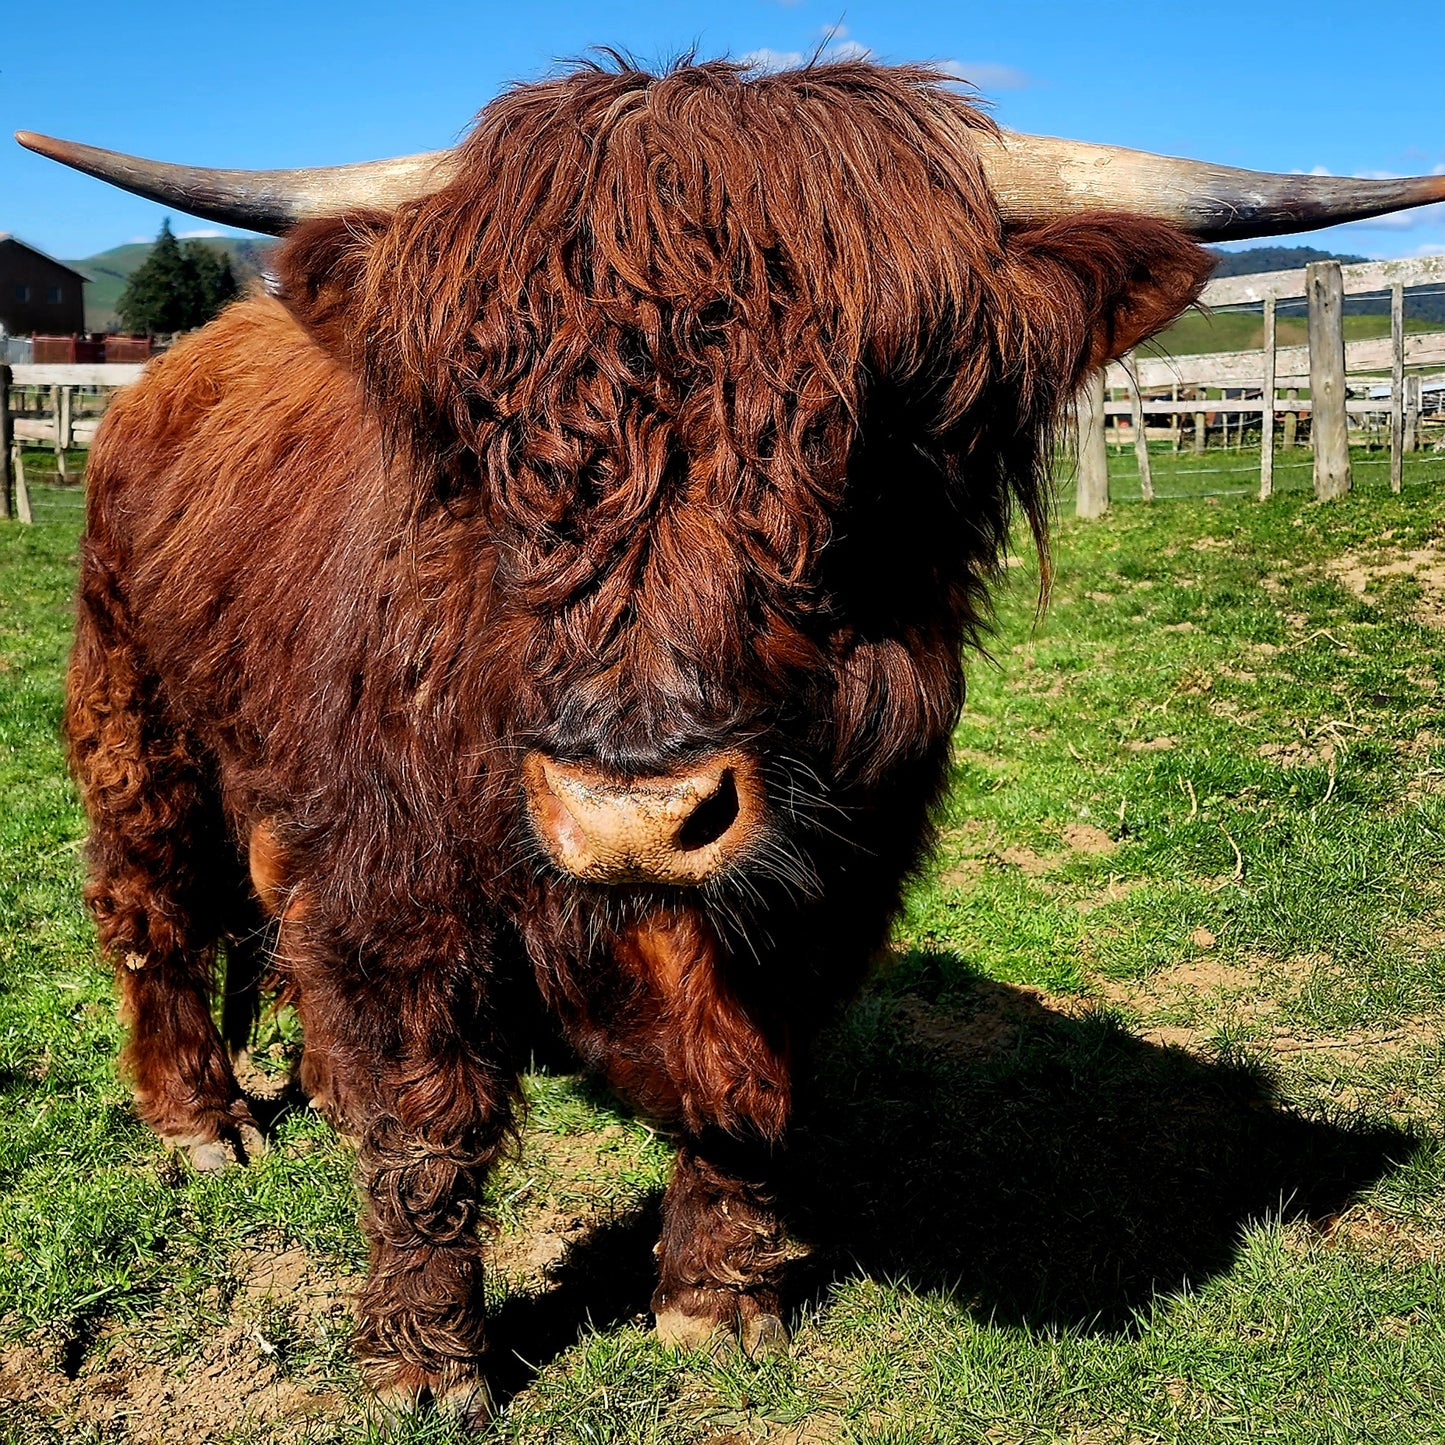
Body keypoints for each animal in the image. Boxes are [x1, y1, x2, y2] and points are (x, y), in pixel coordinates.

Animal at [22, 62, 1445, 1427]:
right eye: (494, 428)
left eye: (872, 431)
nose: (630, 816)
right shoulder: (398, 885)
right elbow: (429, 1116)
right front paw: (422, 1363)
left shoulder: (834, 878)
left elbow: (750, 1092)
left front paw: (715, 1299)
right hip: (136, 708)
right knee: (150, 905)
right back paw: (203, 1120)